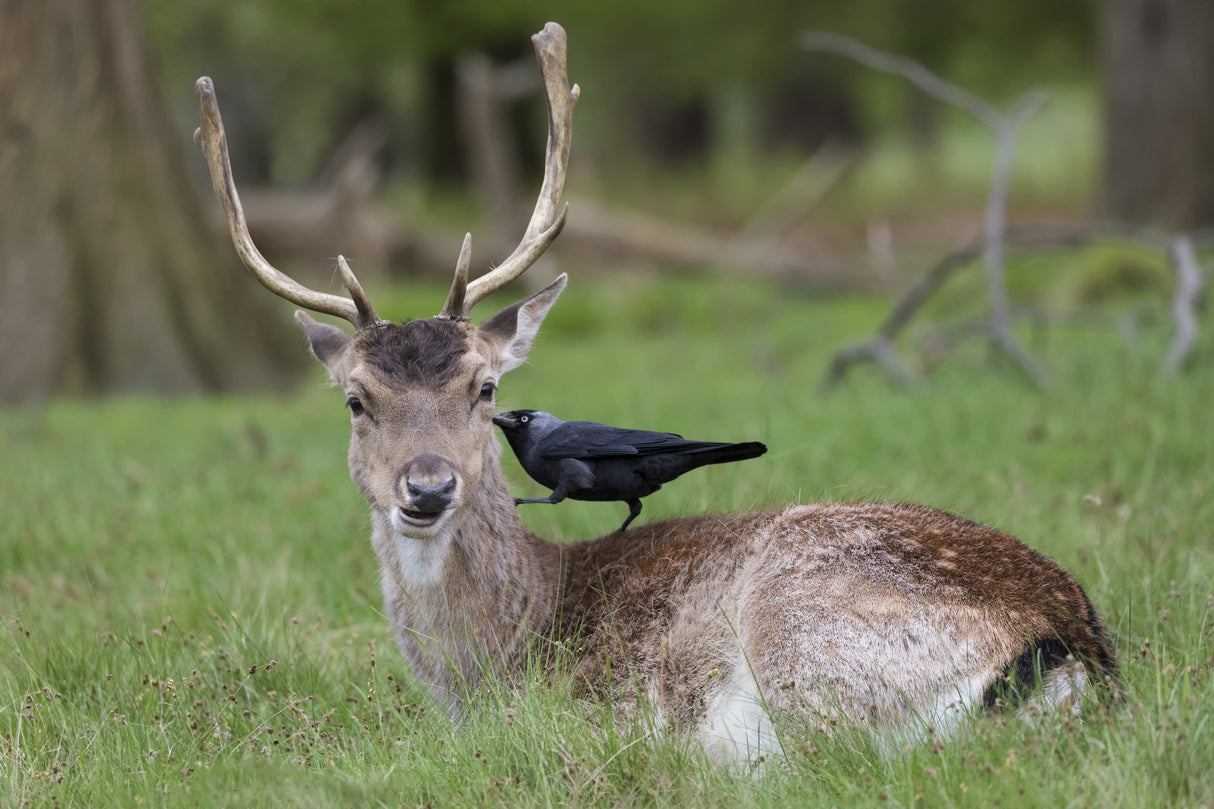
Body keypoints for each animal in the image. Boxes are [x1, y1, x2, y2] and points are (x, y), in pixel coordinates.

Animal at [192, 23, 1116, 763]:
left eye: (485, 387)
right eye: (356, 399)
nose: (426, 486)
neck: (496, 661)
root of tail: (1070, 651)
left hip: (798, 629)